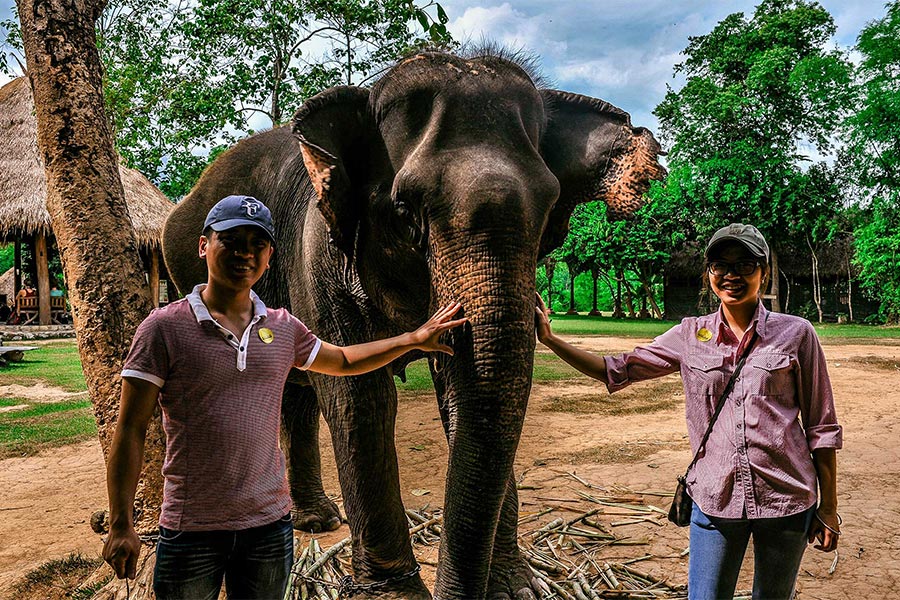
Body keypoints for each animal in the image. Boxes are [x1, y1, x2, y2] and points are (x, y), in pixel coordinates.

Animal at [163, 48, 668, 600]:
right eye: (405, 211)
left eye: (551, 206)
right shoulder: (315, 251)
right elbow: (360, 397)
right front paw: (396, 593)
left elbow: (459, 392)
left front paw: (516, 586)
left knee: (295, 391)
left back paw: (316, 520)